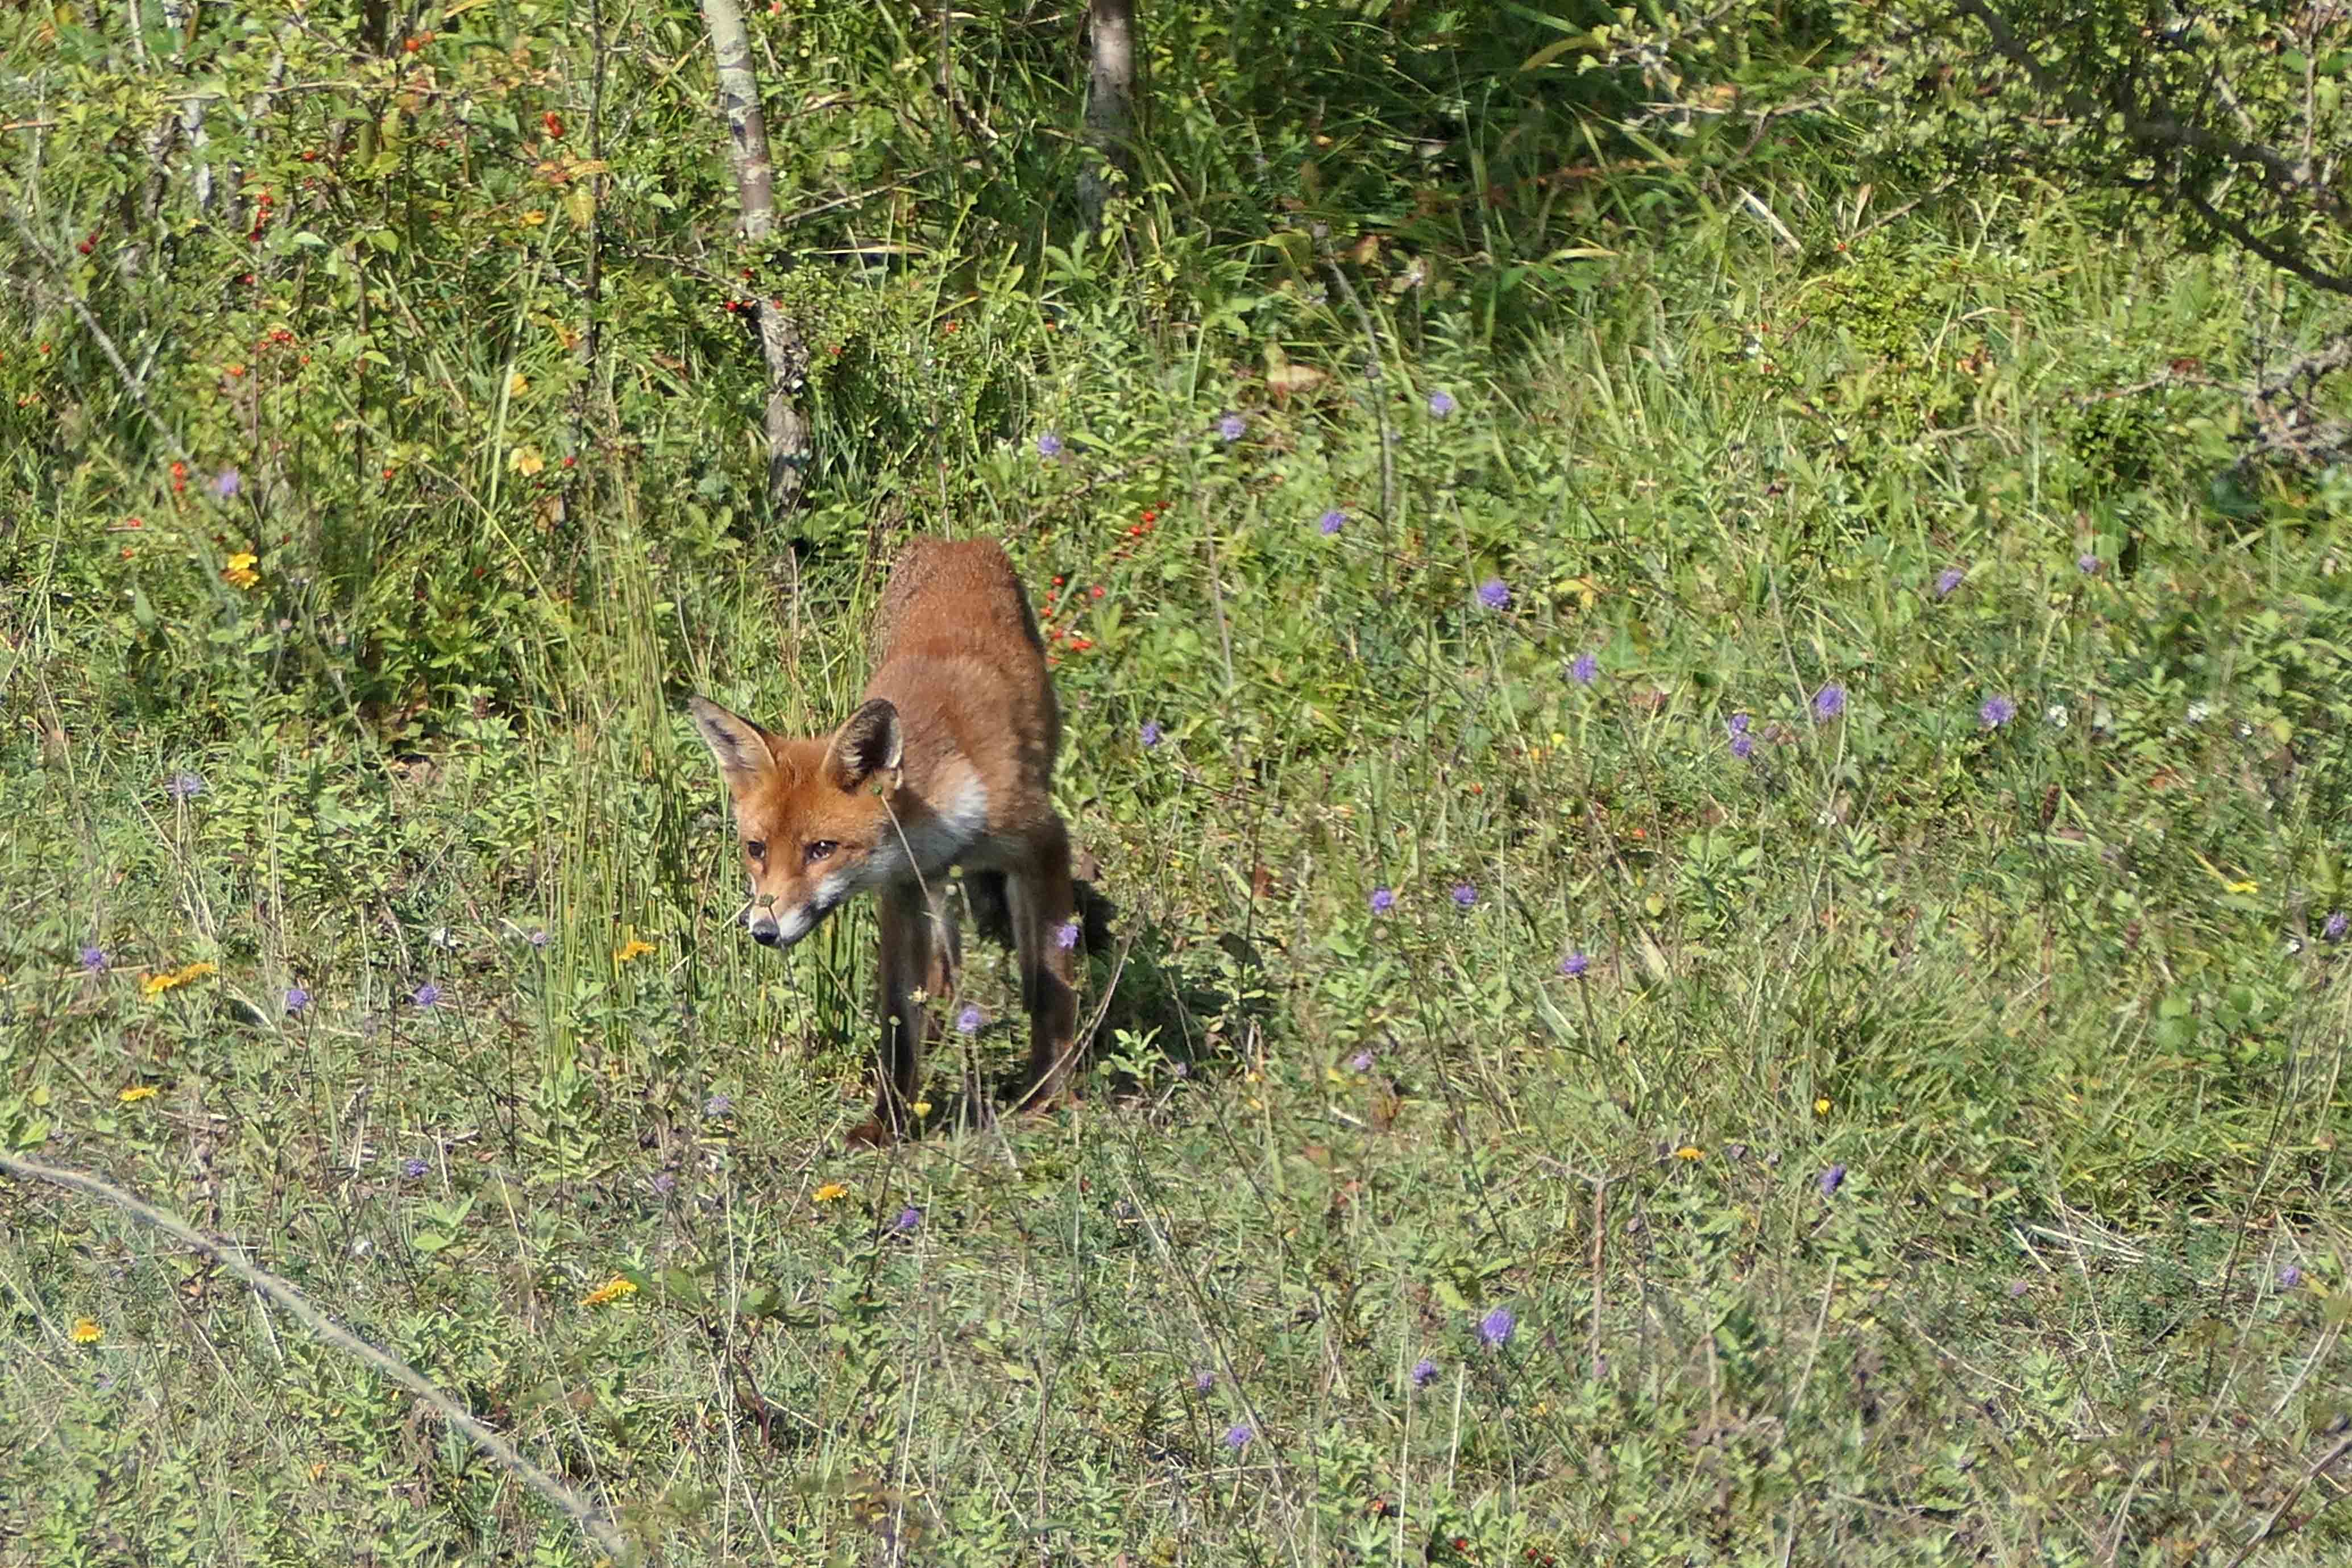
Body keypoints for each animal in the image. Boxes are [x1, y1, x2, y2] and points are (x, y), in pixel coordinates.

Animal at [689, 538, 1082, 1147]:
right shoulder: (901, 892)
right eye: (757, 850)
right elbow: (897, 1020)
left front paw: (1046, 1095)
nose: (763, 931)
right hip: (933, 896)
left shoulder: (1043, 844)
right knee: (941, 972)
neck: (943, 816)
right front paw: (886, 1124)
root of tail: (956, 541)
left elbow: (1047, 987)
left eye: (821, 849)